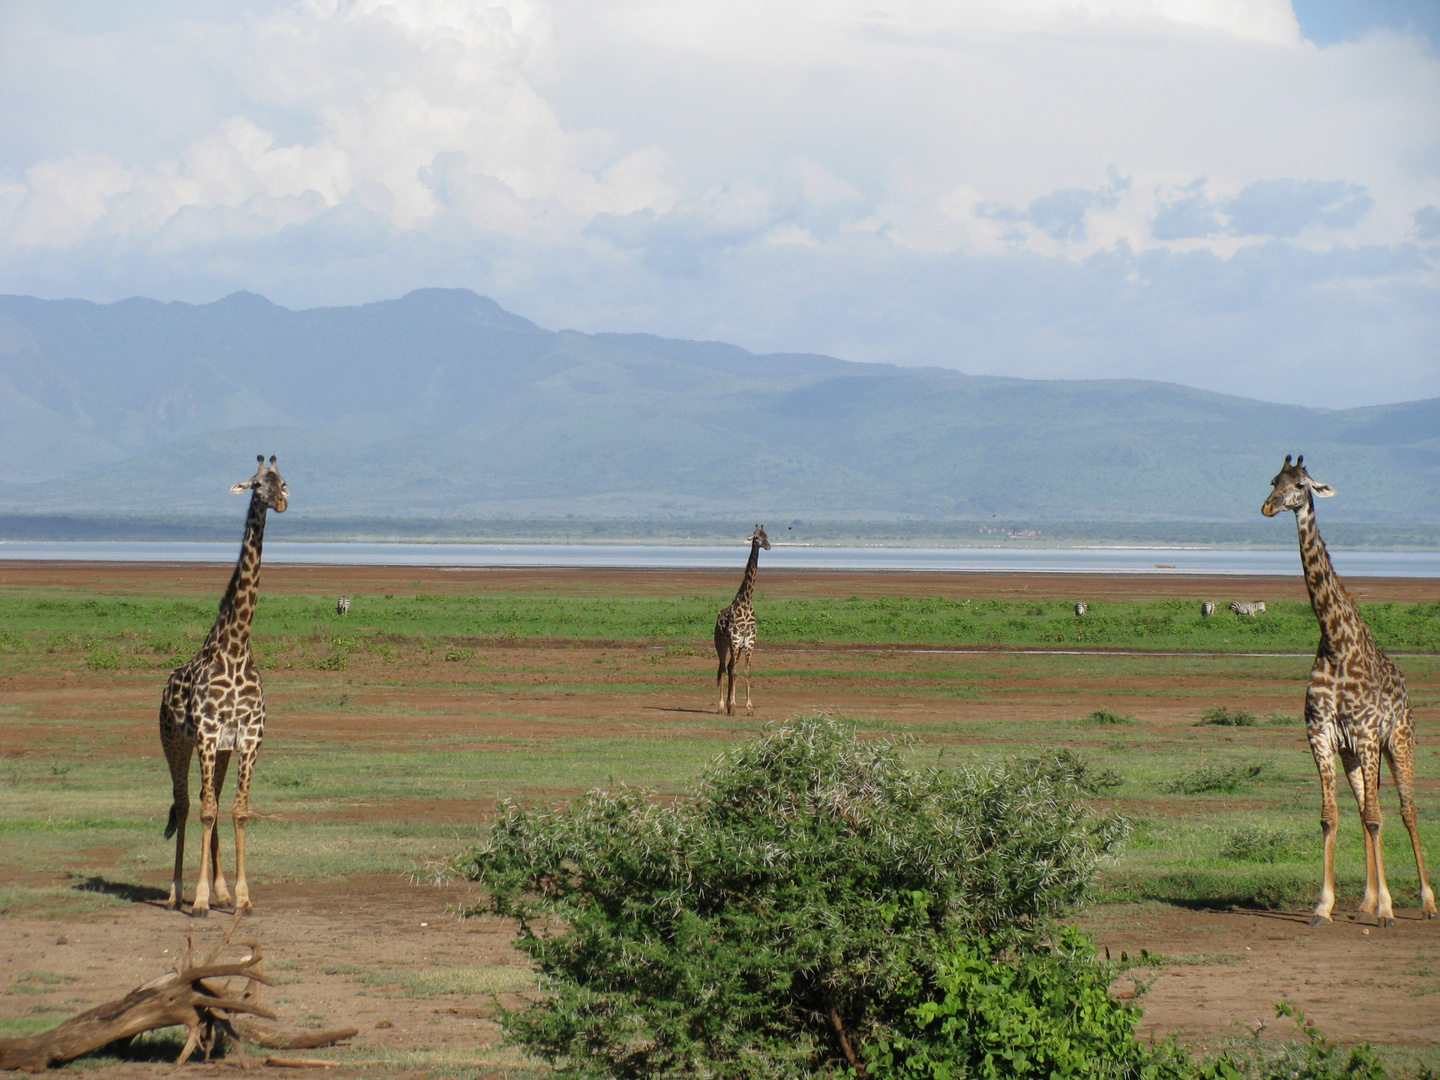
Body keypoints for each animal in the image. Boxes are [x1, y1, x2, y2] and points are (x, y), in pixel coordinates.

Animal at [159, 452, 288, 915]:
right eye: (255, 484)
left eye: (282, 481)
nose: (280, 502)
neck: (235, 648)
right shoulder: (208, 734)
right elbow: (207, 812)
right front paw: (197, 899)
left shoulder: (246, 739)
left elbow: (238, 812)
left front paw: (241, 896)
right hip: (176, 743)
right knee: (185, 803)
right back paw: (176, 892)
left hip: (220, 752)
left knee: (205, 798)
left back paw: (221, 891)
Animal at [714, 527, 771, 720]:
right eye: (756, 537)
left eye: (767, 536)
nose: (768, 546)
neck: (745, 603)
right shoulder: (735, 639)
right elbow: (734, 671)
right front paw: (732, 707)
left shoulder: (750, 641)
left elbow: (745, 671)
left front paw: (749, 707)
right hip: (722, 645)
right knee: (724, 669)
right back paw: (722, 706)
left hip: (736, 648)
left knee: (730, 667)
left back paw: (729, 705)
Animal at [1267, 452, 1434, 927]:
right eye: (1273, 481)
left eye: (1301, 485)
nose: (1269, 507)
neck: (1335, 640)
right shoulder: (1322, 733)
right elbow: (1332, 816)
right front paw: (1326, 906)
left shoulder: (1366, 732)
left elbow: (1380, 817)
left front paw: (1388, 910)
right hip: (1353, 754)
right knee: (1363, 811)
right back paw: (1365, 902)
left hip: (1398, 742)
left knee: (1406, 810)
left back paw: (1424, 903)